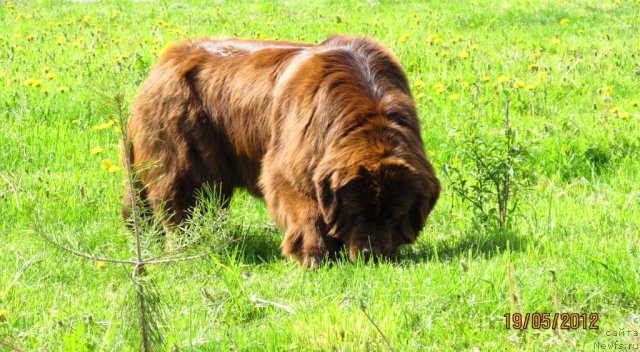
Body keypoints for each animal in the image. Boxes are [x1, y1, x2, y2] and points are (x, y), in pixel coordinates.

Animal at [124, 35, 440, 266]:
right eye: (357, 213)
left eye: (393, 216)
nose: (369, 255)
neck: (365, 115)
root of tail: (166, 60)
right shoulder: (296, 155)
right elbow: (301, 201)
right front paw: (313, 255)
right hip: (180, 142)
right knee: (184, 198)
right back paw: (191, 244)